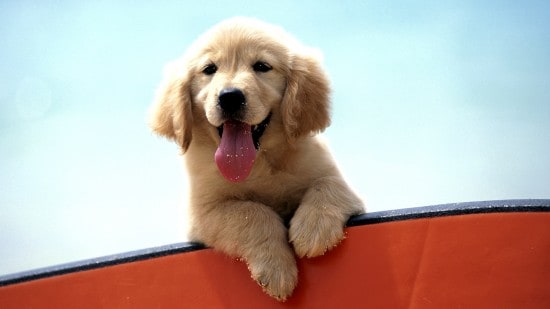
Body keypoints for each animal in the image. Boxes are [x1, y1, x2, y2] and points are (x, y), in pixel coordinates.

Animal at [151, 18, 366, 300]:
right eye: (209, 69)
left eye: (262, 66)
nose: (230, 96)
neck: (259, 163)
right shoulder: (203, 213)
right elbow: (252, 212)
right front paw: (277, 270)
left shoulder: (336, 179)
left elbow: (329, 183)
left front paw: (313, 229)